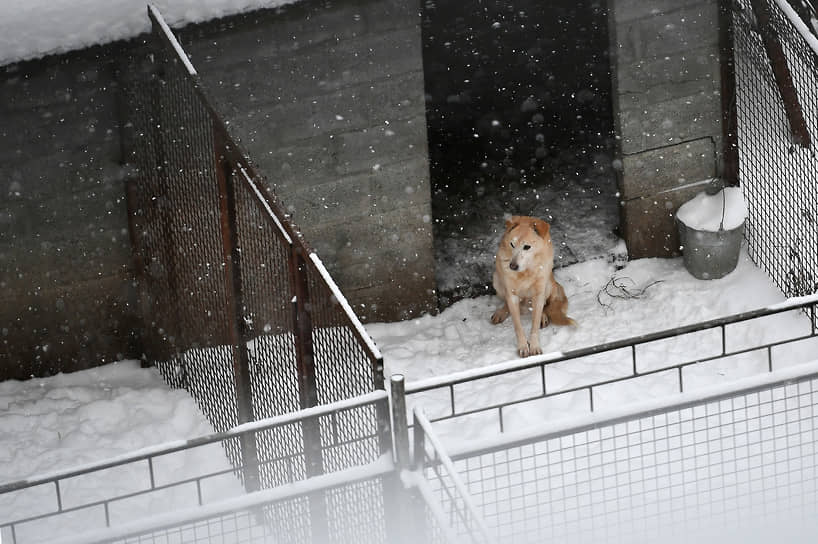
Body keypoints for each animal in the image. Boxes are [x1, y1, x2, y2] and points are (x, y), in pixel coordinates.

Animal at [490, 215, 572, 360]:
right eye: (512, 244)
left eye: (527, 247)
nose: (512, 266)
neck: (526, 271)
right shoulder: (512, 294)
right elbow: (518, 326)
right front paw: (523, 347)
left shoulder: (539, 292)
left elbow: (534, 325)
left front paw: (534, 346)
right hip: (497, 280)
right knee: (507, 302)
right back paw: (501, 312)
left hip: (547, 285)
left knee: (543, 305)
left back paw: (543, 316)